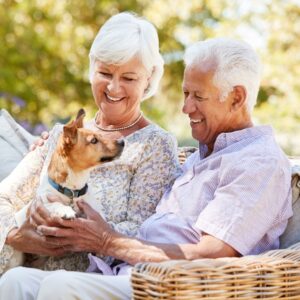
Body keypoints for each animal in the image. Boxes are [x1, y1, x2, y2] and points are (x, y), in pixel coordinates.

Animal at [7, 109, 123, 270]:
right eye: (94, 140)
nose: (122, 141)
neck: (73, 191)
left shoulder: (92, 207)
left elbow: (101, 217)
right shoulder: (41, 204)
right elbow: (55, 204)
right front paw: (66, 211)